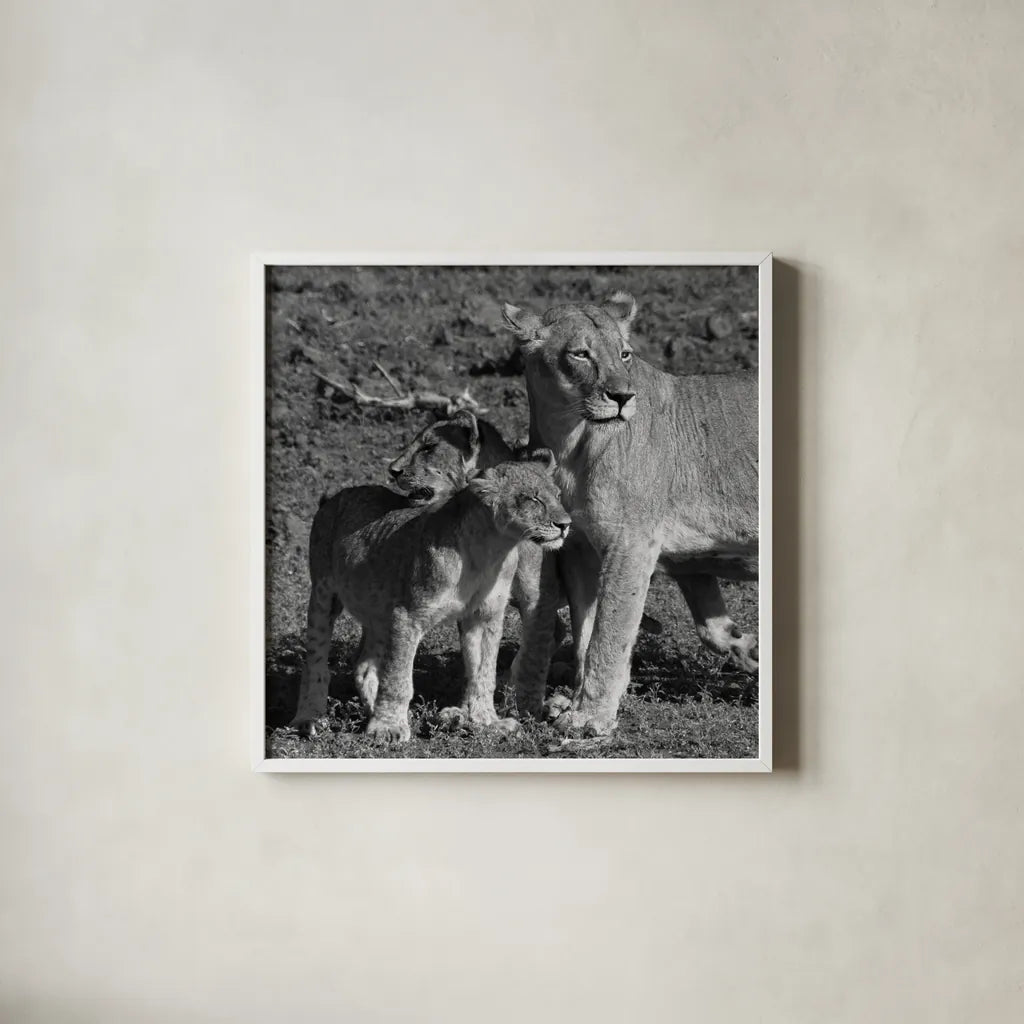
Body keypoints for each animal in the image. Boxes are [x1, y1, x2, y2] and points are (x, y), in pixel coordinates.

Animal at [290, 453, 571, 742]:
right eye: (532, 499)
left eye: (558, 495)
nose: (565, 525)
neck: (493, 549)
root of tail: (336, 496)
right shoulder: (408, 614)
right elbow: (398, 676)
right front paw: (388, 727)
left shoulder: (484, 616)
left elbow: (484, 674)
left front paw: (487, 721)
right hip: (324, 594)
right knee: (315, 662)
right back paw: (309, 719)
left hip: (380, 611)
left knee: (364, 667)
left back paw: (373, 712)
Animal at [502, 291, 759, 736]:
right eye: (581, 354)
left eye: (625, 354)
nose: (623, 398)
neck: (570, 442)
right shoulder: (579, 548)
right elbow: (588, 630)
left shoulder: (631, 541)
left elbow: (611, 629)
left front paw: (589, 717)